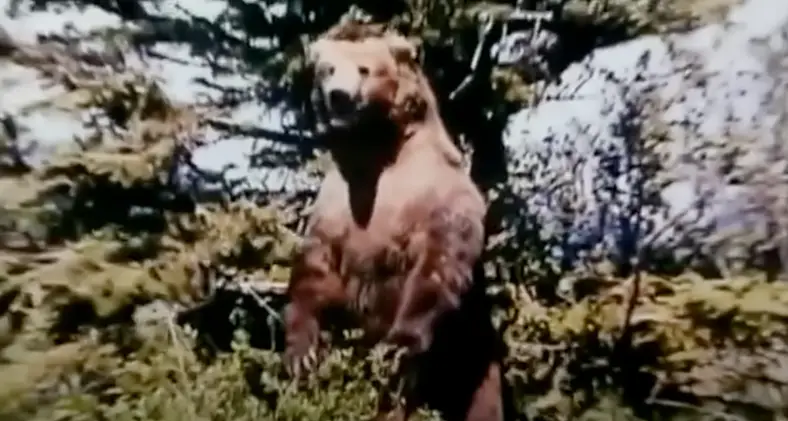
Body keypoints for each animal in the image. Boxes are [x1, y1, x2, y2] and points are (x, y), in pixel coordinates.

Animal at [283, 22, 507, 421]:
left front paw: (398, 346)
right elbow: (315, 267)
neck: (376, 151)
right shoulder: (336, 204)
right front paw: (301, 352)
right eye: (328, 69)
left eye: (364, 69)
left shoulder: (437, 197)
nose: (339, 97)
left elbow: (438, 264)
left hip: (472, 358)